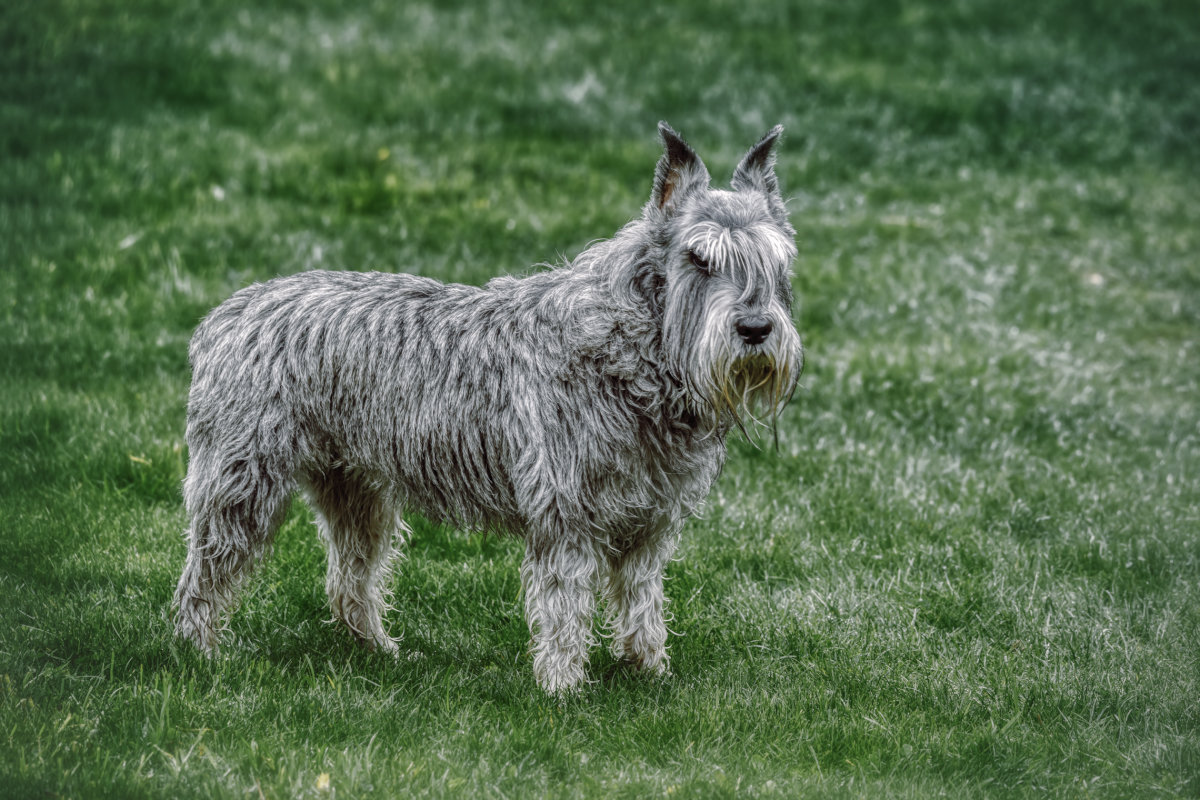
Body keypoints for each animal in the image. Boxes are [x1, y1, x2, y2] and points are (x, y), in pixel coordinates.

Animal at [171, 122, 806, 690]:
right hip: (240, 488)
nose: (755, 329)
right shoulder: (564, 518)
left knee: (350, 580)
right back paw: (201, 653)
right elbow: (564, 609)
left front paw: (649, 672)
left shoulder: (649, 523)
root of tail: (223, 316)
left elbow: (642, 603)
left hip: (356, 494)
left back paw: (378, 650)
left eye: (777, 261)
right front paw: (563, 687)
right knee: (205, 575)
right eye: (699, 259)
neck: (634, 350)